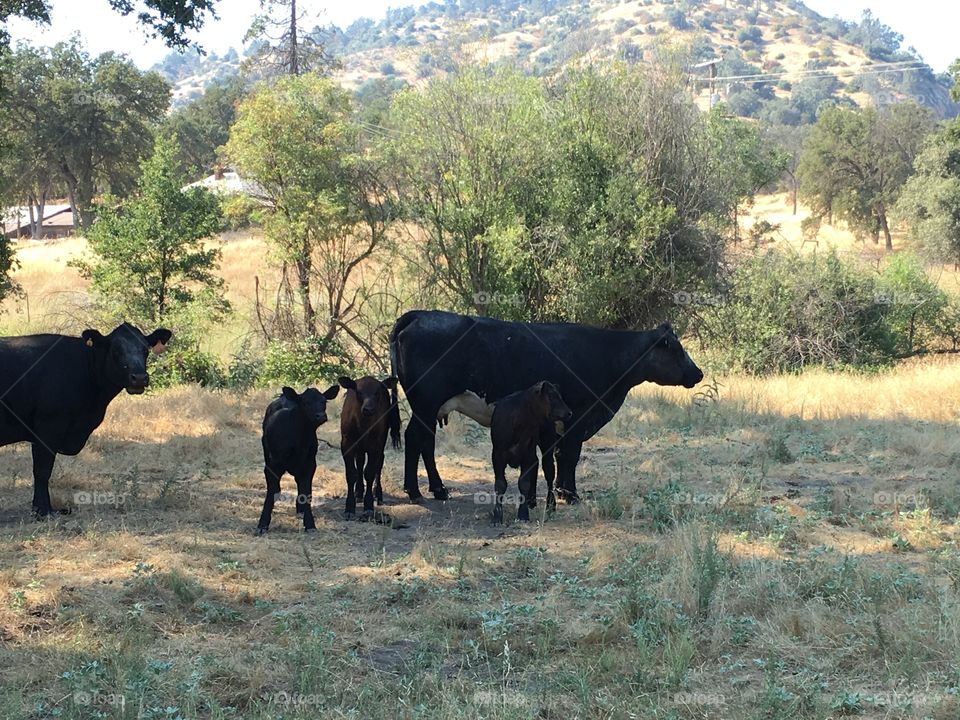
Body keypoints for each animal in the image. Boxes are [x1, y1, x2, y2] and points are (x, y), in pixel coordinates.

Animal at [0, 322, 172, 516]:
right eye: (115, 350)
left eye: (145, 349)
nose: (140, 378)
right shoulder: (49, 425)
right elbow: (42, 470)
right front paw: (43, 511)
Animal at [258, 382, 342, 536]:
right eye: (305, 402)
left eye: (324, 401)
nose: (321, 415)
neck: (300, 439)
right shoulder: (273, 465)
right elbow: (270, 492)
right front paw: (262, 524)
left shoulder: (310, 465)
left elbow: (306, 492)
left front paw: (309, 523)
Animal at [338, 376, 402, 516]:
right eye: (359, 392)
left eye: (377, 393)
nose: (368, 409)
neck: (363, 425)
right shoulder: (346, 444)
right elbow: (351, 473)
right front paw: (349, 507)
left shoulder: (375, 445)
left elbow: (370, 472)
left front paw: (368, 505)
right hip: (360, 447)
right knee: (360, 461)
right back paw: (358, 492)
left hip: (381, 442)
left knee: (379, 464)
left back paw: (378, 494)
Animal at [386, 310, 700, 500]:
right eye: (677, 349)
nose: (698, 373)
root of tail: (421, 314)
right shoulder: (578, 416)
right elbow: (570, 455)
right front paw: (570, 494)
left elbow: (560, 455)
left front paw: (561, 489)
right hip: (426, 404)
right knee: (416, 439)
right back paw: (418, 490)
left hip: (429, 408)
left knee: (424, 442)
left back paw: (435, 488)